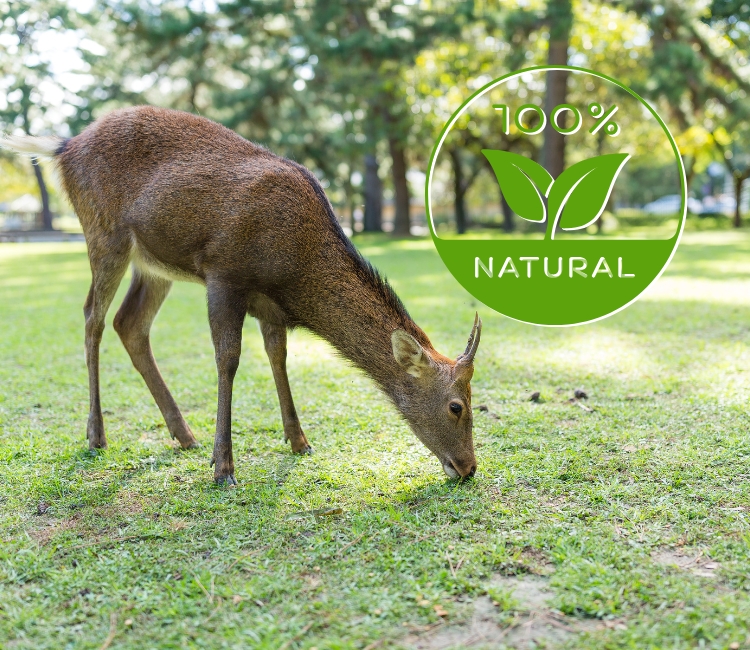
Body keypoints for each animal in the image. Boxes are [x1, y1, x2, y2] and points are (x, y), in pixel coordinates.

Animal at [2, 106, 481, 485]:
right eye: (457, 406)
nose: (468, 467)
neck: (295, 270)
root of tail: (65, 146)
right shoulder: (224, 273)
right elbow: (228, 359)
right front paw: (224, 467)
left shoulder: (269, 306)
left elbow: (277, 357)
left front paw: (299, 440)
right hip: (104, 234)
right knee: (92, 318)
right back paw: (98, 434)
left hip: (154, 264)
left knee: (129, 323)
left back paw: (183, 434)